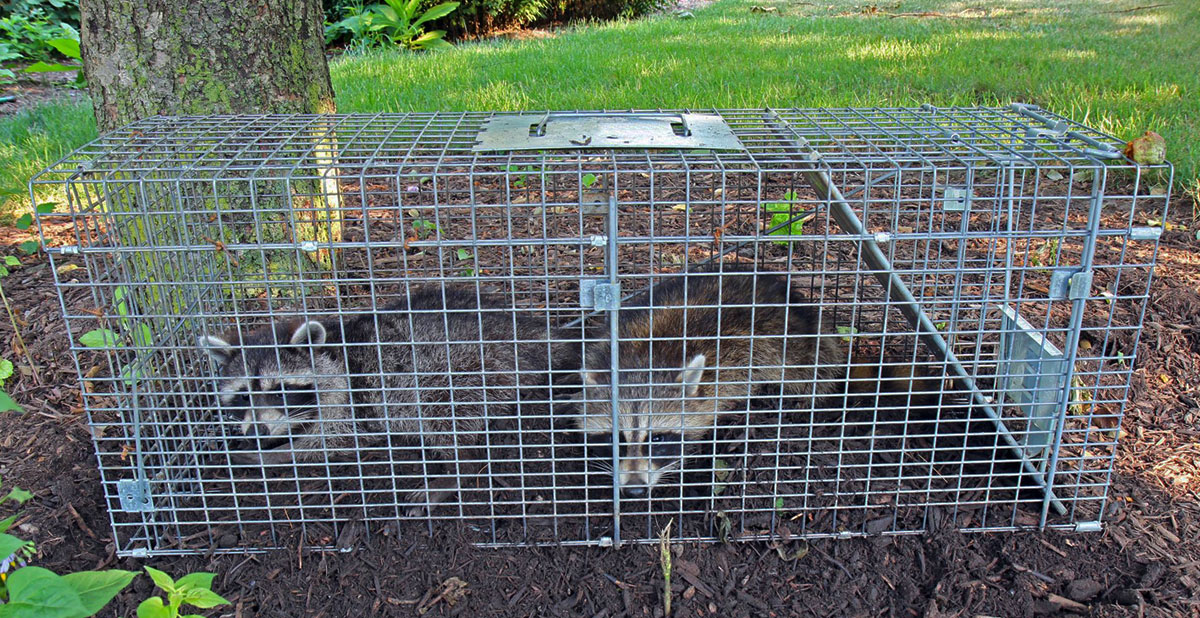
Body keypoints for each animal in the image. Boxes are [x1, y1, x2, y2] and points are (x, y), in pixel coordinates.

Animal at [199, 288, 573, 511]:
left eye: (279, 390)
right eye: (243, 396)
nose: (257, 433)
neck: (333, 351)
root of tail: (529, 333)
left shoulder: (349, 401)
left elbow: (327, 441)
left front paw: (272, 454)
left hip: (465, 369)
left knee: (442, 413)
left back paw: (457, 469)